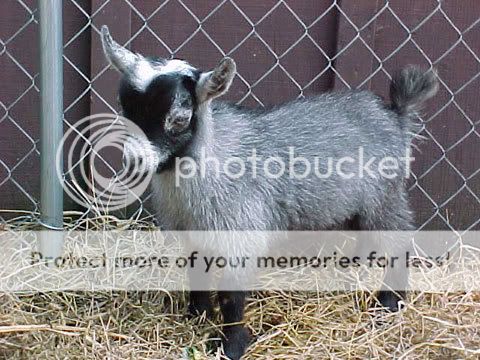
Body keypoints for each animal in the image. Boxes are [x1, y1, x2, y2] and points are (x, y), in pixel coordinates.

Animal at [101, 26, 438, 360]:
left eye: (179, 118)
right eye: (124, 109)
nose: (134, 161)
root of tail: (396, 115)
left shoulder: (240, 232)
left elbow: (231, 296)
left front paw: (231, 345)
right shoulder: (193, 232)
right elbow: (197, 275)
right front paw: (197, 316)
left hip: (384, 198)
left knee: (398, 242)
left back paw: (390, 303)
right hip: (359, 204)